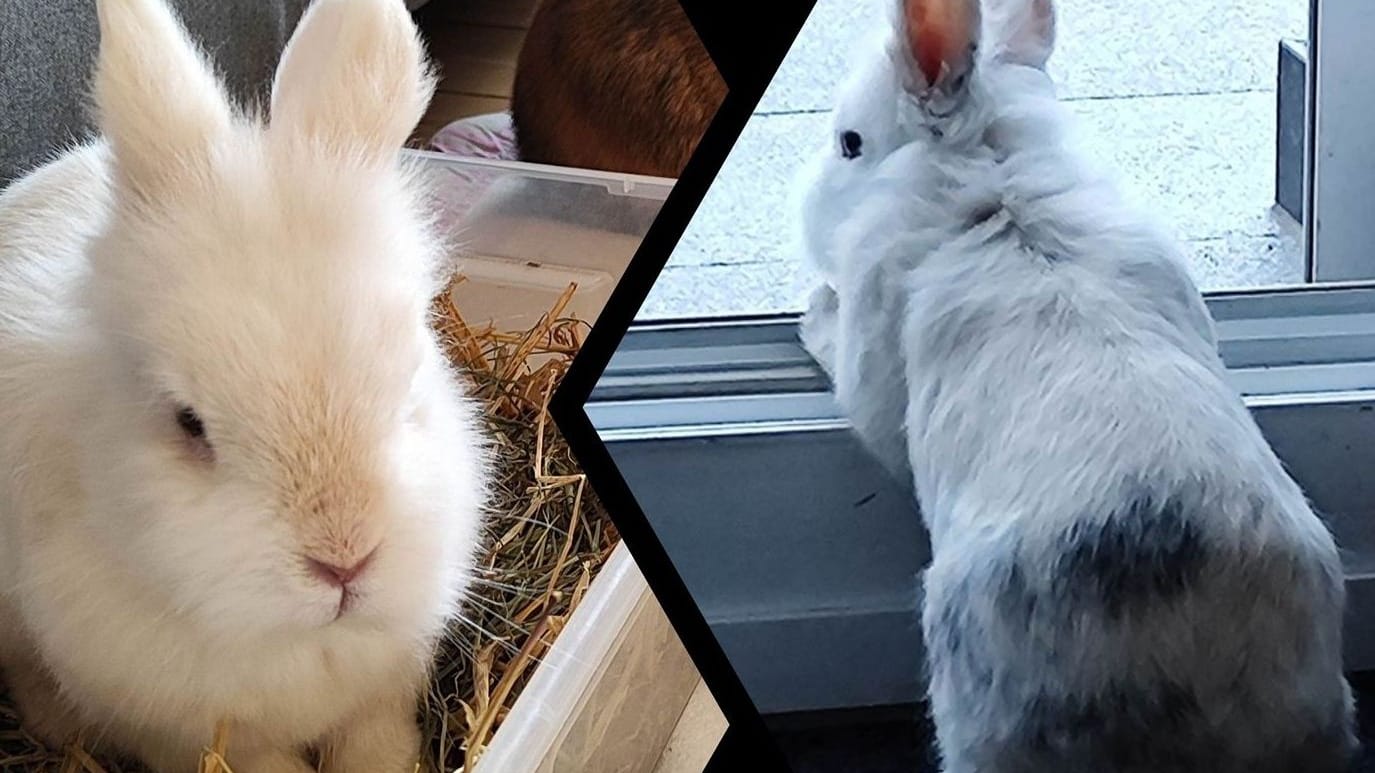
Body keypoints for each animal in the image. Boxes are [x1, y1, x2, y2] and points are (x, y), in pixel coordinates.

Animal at [0, 0, 488, 770]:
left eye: (410, 378)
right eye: (189, 423)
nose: (344, 562)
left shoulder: (383, 692)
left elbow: (377, 743)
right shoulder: (192, 734)